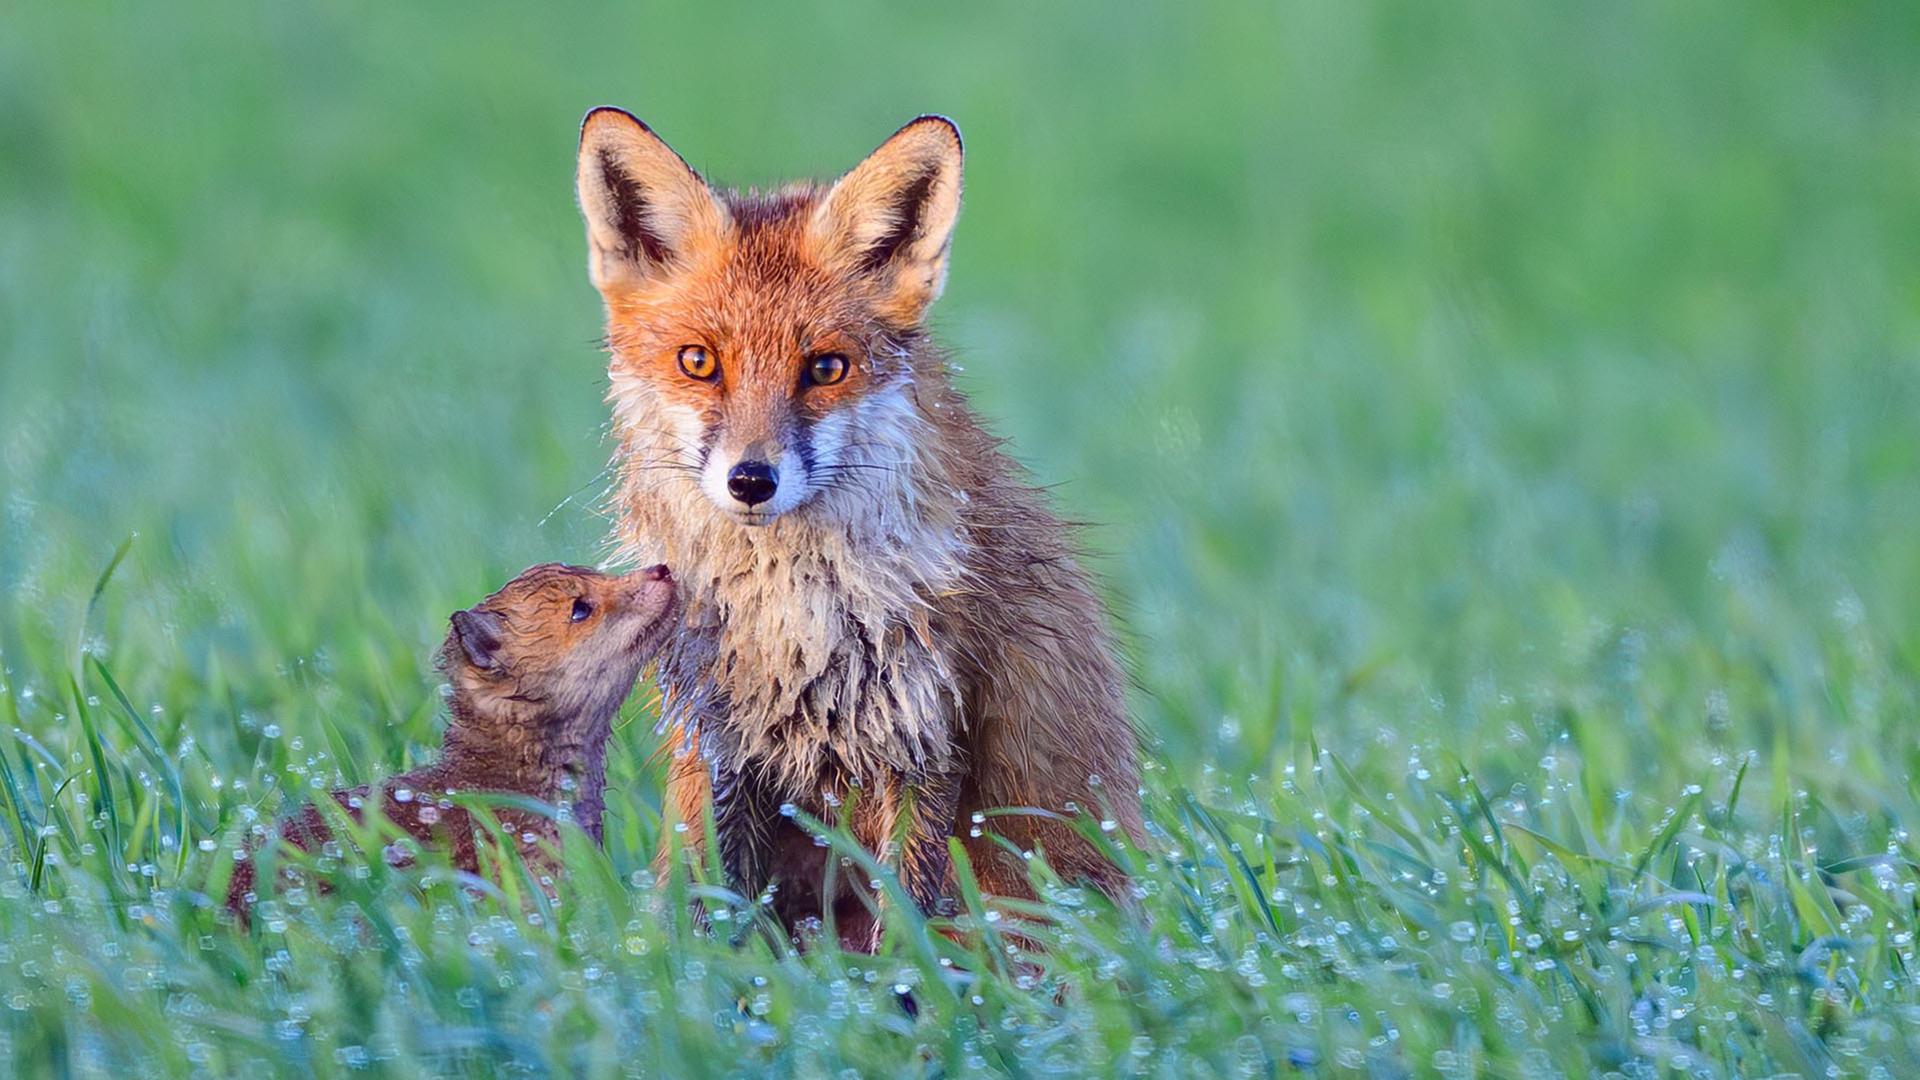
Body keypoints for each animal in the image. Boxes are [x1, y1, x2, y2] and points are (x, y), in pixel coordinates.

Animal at [573, 108, 1144, 947]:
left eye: (825, 368)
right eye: (699, 362)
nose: (751, 481)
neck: (787, 617)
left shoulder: (925, 737)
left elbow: (902, 929)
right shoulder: (718, 742)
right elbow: (714, 912)